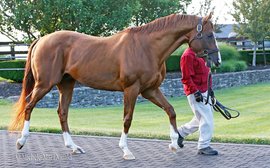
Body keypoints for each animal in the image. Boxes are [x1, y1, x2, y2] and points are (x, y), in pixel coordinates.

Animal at [10, 12, 221, 159]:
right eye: (209, 35)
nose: (217, 61)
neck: (148, 47)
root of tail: (42, 40)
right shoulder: (131, 90)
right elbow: (127, 119)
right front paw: (126, 150)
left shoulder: (150, 90)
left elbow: (170, 111)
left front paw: (174, 143)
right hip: (45, 84)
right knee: (29, 106)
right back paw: (21, 141)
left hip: (66, 84)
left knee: (62, 113)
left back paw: (73, 147)